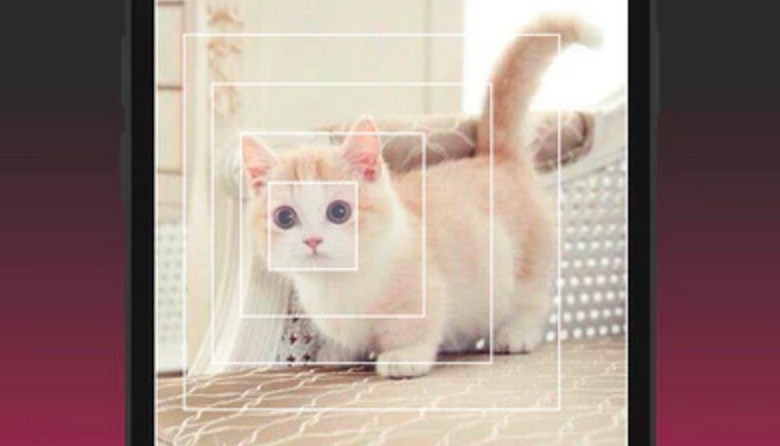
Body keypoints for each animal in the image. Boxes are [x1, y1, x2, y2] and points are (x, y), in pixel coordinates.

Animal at [242, 14, 600, 378]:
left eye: (339, 211)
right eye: (285, 217)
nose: (312, 240)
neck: (340, 283)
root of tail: (497, 157)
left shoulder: (424, 292)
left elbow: (418, 328)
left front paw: (404, 357)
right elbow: (346, 337)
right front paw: (336, 351)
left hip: (526, 259)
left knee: (531, 299)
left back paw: (515, 333)